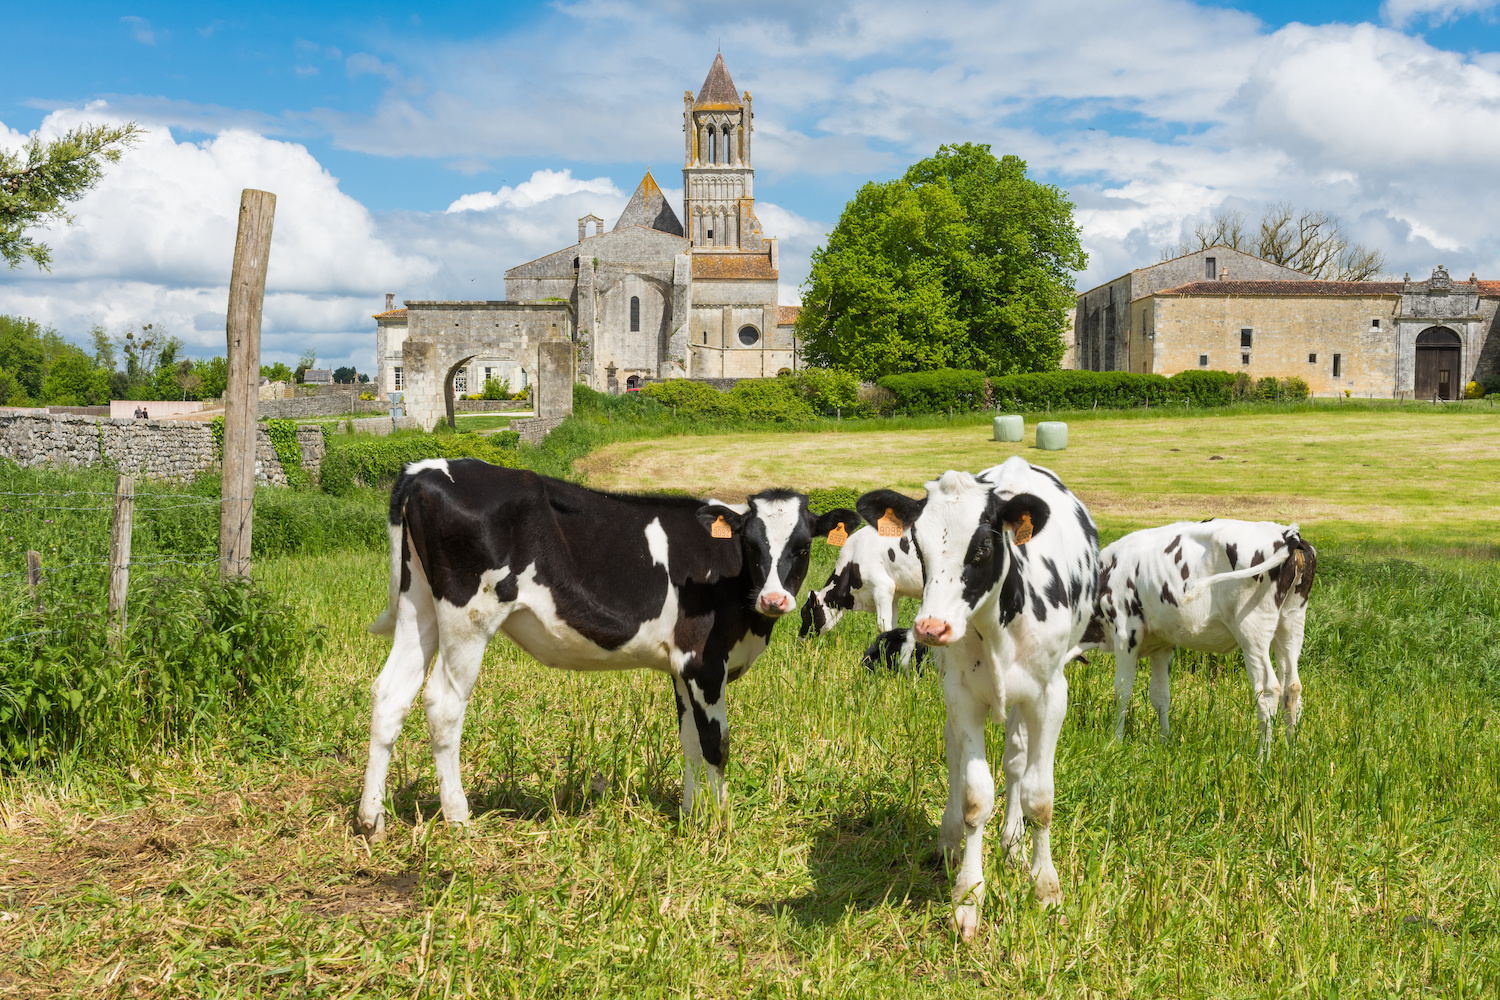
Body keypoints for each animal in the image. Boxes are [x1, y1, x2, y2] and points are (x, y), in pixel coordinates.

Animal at [352, 461, 864, 839]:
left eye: (802, 547)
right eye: (751, 545)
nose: (774, 600)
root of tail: (425, 470)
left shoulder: (680, 666)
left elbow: (690, 741)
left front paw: (691, 817)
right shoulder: (703, 662)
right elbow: (716, 743)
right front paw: (720, 825)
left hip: (418, 605)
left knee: (390, 694)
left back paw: (371, 819)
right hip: (468, 617)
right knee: (443, 704)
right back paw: (458, 818)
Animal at [858, 458, 1104, 941]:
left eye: (984, 547)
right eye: (916, 546)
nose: (930, 628)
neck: (998, 626)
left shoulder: (1051, 696)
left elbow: (1039, 797)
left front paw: (1045, 887)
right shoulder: (962, 696)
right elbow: (975, 796)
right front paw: (968, 896)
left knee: (1016, 759)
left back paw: (1013, 844)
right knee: (955, 750)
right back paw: (950, 839)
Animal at [1086, 521, 1320, 755]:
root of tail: (1288, 533)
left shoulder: (1125, 635)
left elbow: (1122, 690)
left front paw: (1115, 741)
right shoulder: (1163, 645)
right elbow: (1160, 695)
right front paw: (1165, 741)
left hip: (1253, 631)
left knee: (1269, 690)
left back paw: (1263, 757)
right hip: (1291, 623)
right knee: (1292, 687)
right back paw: (1292, 753)